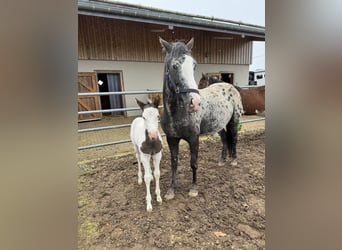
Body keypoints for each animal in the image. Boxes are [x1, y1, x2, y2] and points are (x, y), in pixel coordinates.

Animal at [160, 37, 243, 200]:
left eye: (194, 65)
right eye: (174, 66)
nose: (196, 103)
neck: (176, 114)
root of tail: (230, 86)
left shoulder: (194, 138)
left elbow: (194, 163)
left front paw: (193, 189)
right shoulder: (171, 139)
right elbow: (174, 163)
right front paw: (171, 190)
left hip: (234, 121)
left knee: (234, 139)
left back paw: (234, 161)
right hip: (218, 125)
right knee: (225, 139)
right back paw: (222, 160)